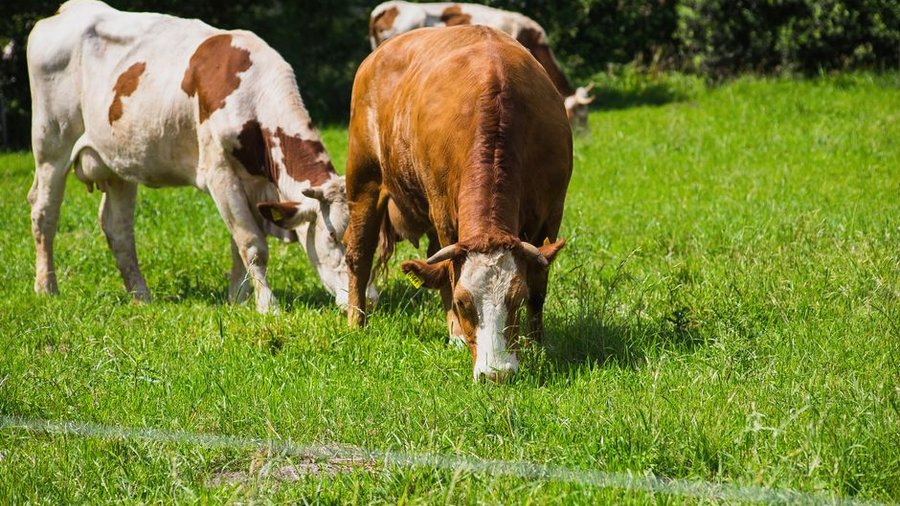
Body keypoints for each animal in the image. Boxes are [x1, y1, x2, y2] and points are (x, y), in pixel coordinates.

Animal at [27, 0, 376, 312]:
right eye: (333, 235)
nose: (369, 300)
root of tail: (69, 9)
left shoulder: (253, 186)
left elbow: (238, 244)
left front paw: (238, 299)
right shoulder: (219, 173)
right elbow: (252, 244)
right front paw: (267, 306)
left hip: (118, 162)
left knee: (118, 228)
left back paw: (141, 296)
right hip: (51, 144)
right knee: (45, 212)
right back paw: (47, 287)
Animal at [344, 26, 572, 381]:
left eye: (516, 299)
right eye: (465, 303)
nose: (496, 374)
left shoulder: (550, 214)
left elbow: (539, 282)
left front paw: (536, 342)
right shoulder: (444, 213)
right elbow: (447, 276)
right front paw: (456, 333)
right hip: (363, 179)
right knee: (359, 253)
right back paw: (357, 322)